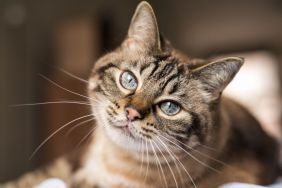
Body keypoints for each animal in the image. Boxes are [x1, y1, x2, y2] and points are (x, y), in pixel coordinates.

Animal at [2, 1, 280, 188]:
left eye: (170, 107)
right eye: (129, 80)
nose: (132, 113)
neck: (114, 161)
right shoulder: (72, 162)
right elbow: (26, 180)